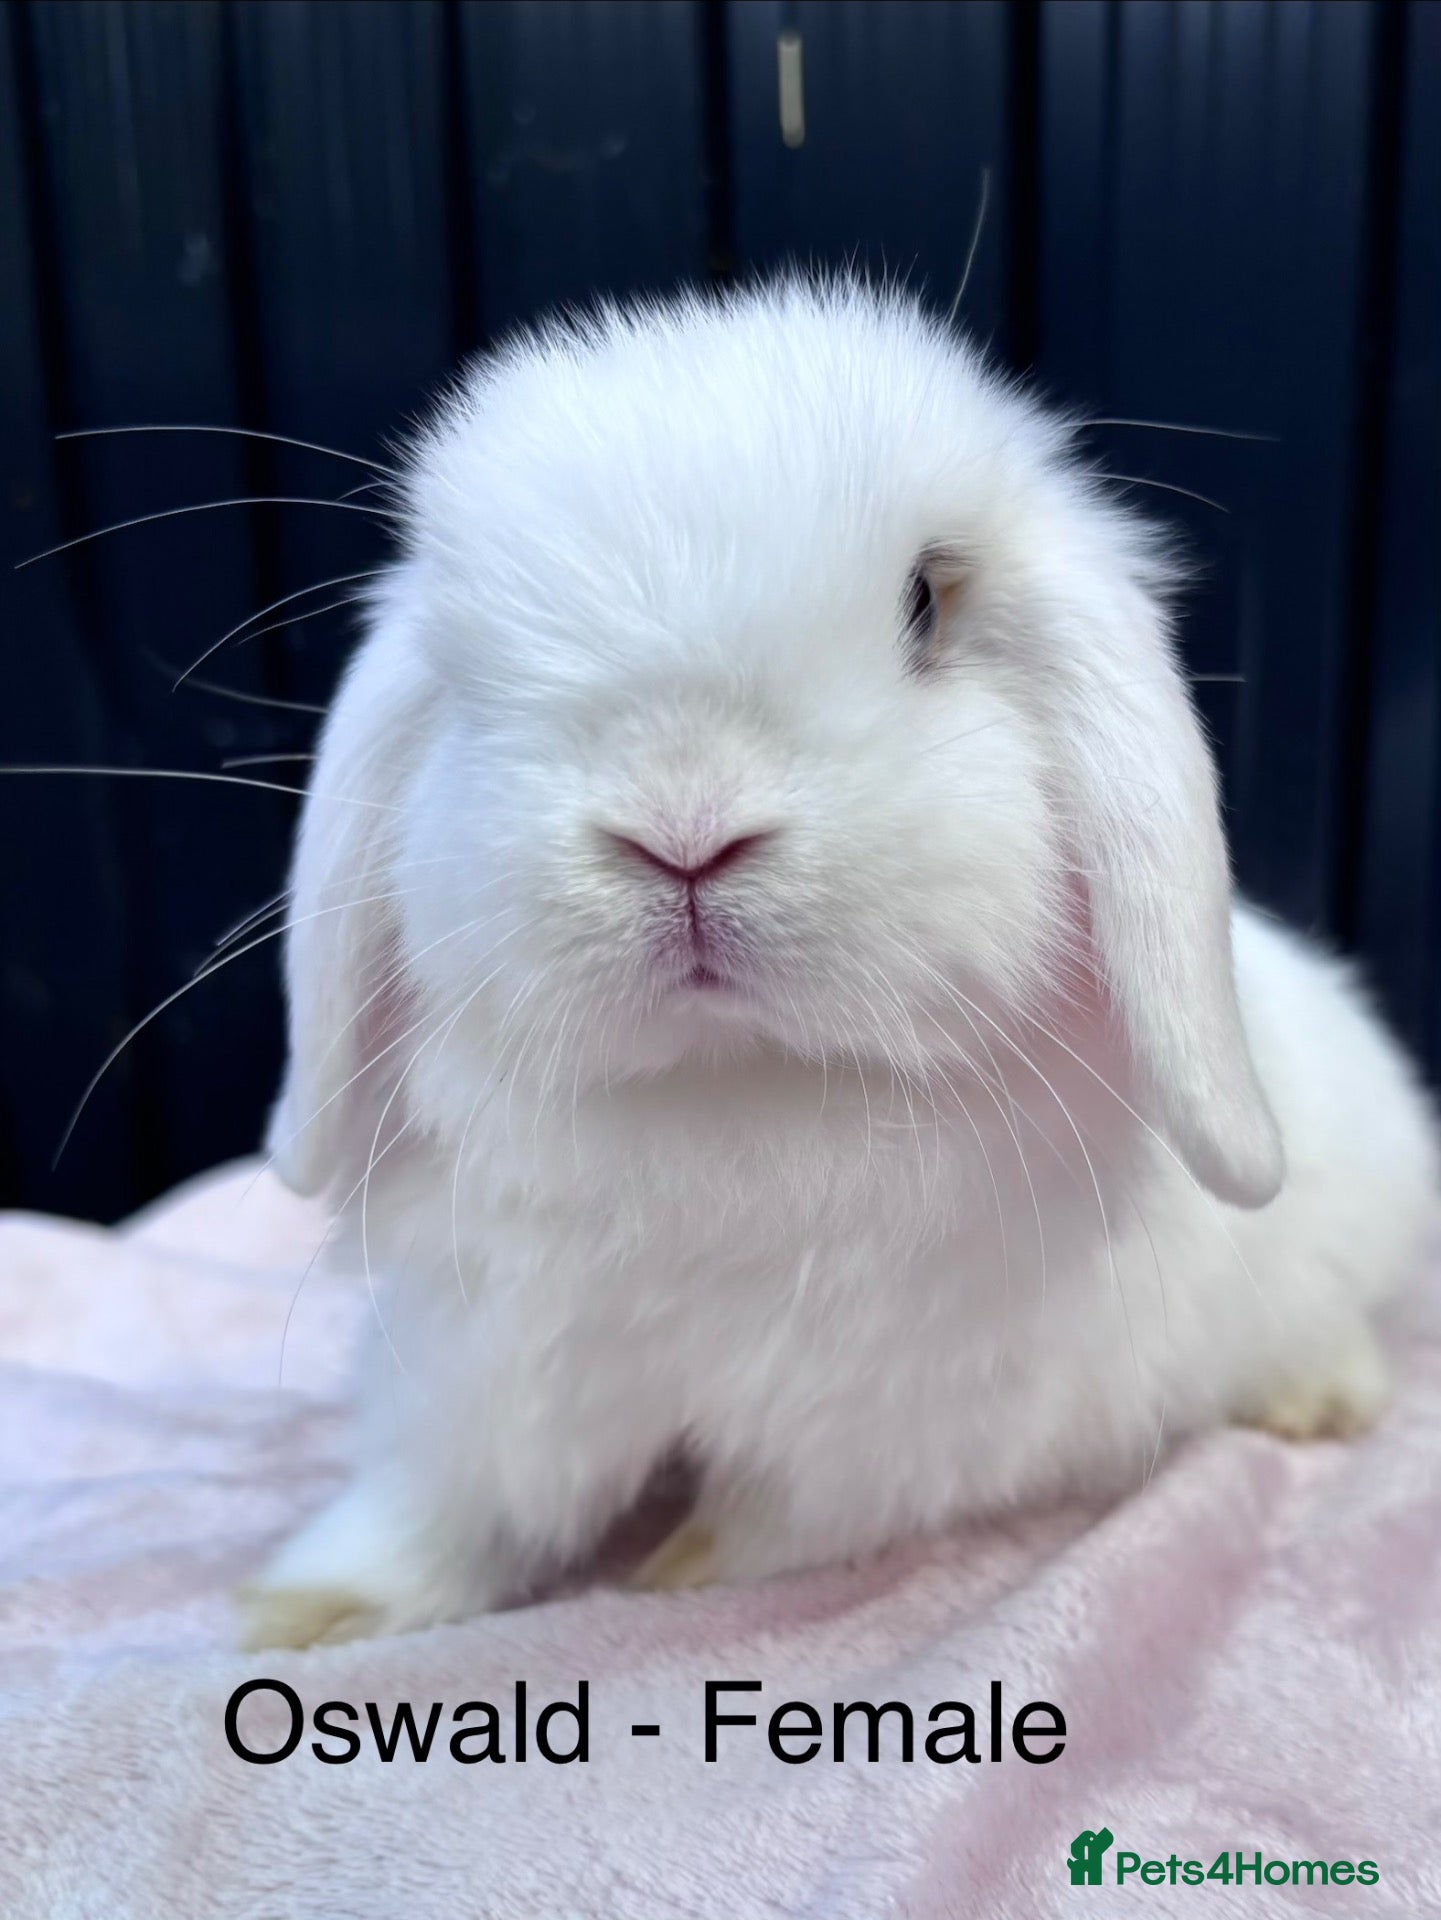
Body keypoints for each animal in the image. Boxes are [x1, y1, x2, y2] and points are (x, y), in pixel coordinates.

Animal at [238, 279, 1438, 1651]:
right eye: (462, 664)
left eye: (925, 602)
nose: (683, 830)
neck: (733, 1092)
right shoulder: (485, 1363)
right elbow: (447, 1500)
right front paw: (308, 1612)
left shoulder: (890, 1423)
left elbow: (778, 1521)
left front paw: (675, 1576)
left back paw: (1319, 1401)